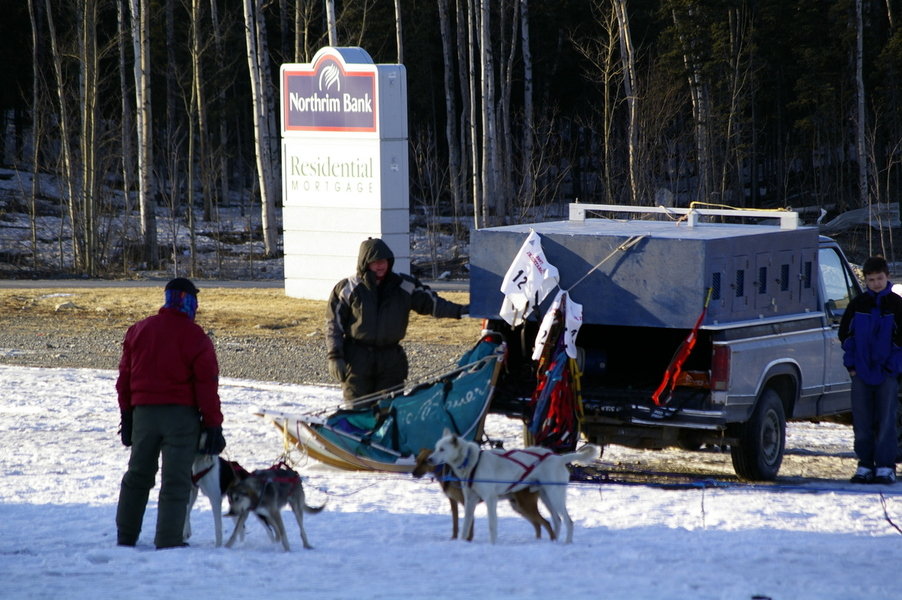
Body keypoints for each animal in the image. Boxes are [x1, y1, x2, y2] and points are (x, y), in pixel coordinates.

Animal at [412, 448, 556, 540]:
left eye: (425, 461)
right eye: (417, 460)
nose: (413, 473)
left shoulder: (466, 501)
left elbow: (469, 524)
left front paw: (468, 540)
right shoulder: (454, 502)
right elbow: (455, 524)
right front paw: (454, 538)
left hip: (525, 506)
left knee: (546, 523)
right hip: (518, 506)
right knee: (538, 524)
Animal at [430, 426, 600, 544]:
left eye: (442, 449)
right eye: (435, 448)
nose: (429, 459)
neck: (472, 462)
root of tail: (559, 458)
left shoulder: (490, 499)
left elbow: (492, 525)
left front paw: (492, 544)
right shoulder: (470, 500)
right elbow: (466, 524)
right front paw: (462, 542)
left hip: (554, 496)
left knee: (568, 521)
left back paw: (566, 543)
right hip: (546, 497)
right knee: (556, 521)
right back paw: (553, 543)